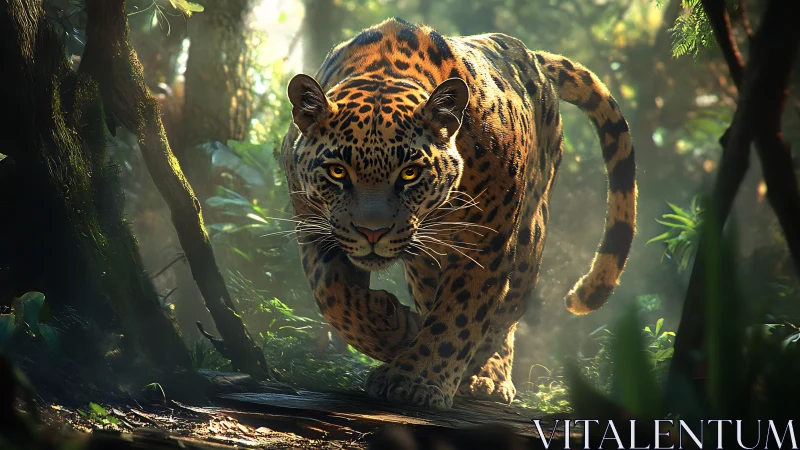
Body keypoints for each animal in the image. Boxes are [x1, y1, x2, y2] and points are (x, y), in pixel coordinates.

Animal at [280, 17, 636, 410]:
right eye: (337, 172)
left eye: (409, 173)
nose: (372, 232)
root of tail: (532, 56)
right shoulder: (314, 226)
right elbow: (334, 296)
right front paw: (398, 331)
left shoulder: (483, 245)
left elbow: (459, 315)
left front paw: (415, 379)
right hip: (424, 261)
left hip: (530, 234)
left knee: (508, 311)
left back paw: (488, 376)